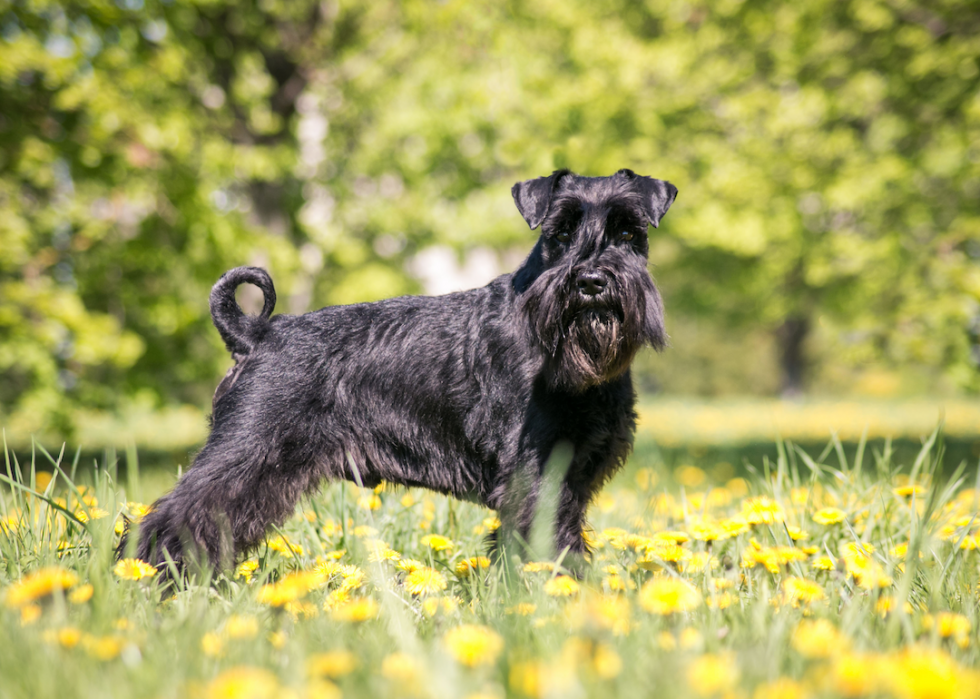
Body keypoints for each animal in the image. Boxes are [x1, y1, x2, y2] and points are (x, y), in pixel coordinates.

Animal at [122, 170, 676, 576]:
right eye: (560, 232)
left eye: (628, 232)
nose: (591, 281)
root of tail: (255, 333)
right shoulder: (535, 476)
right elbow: (546, 548)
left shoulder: (573, 479)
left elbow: (562, 541)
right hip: (246, 451)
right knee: (174, 516)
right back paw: (153, 580)